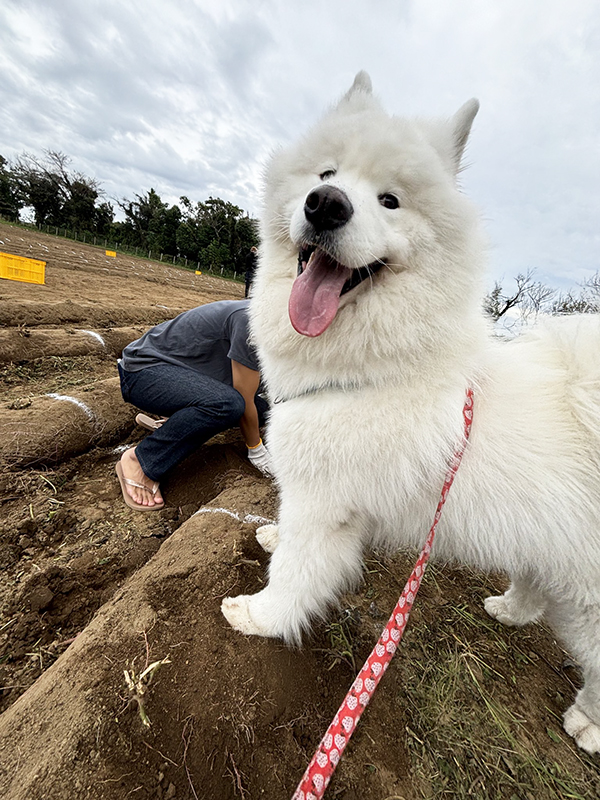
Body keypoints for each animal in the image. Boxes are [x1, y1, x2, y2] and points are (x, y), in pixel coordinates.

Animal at [223, 72, 600, 752]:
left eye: (390, 201)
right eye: (327, 172)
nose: (325, 204)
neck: (373, 370)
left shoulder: (325, 505)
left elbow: (294, 574)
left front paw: (259, 617)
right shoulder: (312, 493)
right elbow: (284, 534)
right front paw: (268, 534)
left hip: (588, 599)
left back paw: (588, 724)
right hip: (547, 549)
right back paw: (509, 609)